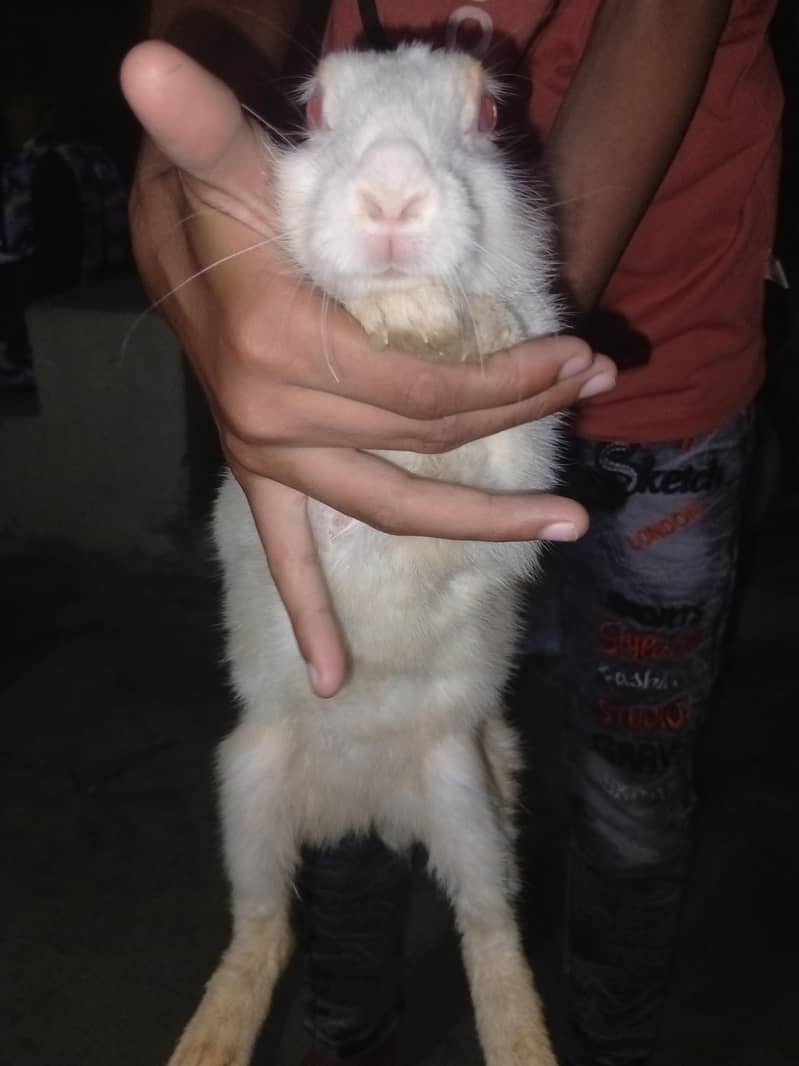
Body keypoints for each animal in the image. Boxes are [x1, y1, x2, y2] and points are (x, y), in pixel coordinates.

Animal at [168, 44, 562, 1066]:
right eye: (310, 111)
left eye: (488, 115)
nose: (390, 197)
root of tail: (364, 810)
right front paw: (409, 320)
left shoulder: (518, 469)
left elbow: (485, 467)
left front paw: (447, 323)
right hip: (247, 785)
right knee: (264, 928)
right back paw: (208, 1039)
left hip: (467, 795)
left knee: (490, 928)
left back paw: (522, 1041)